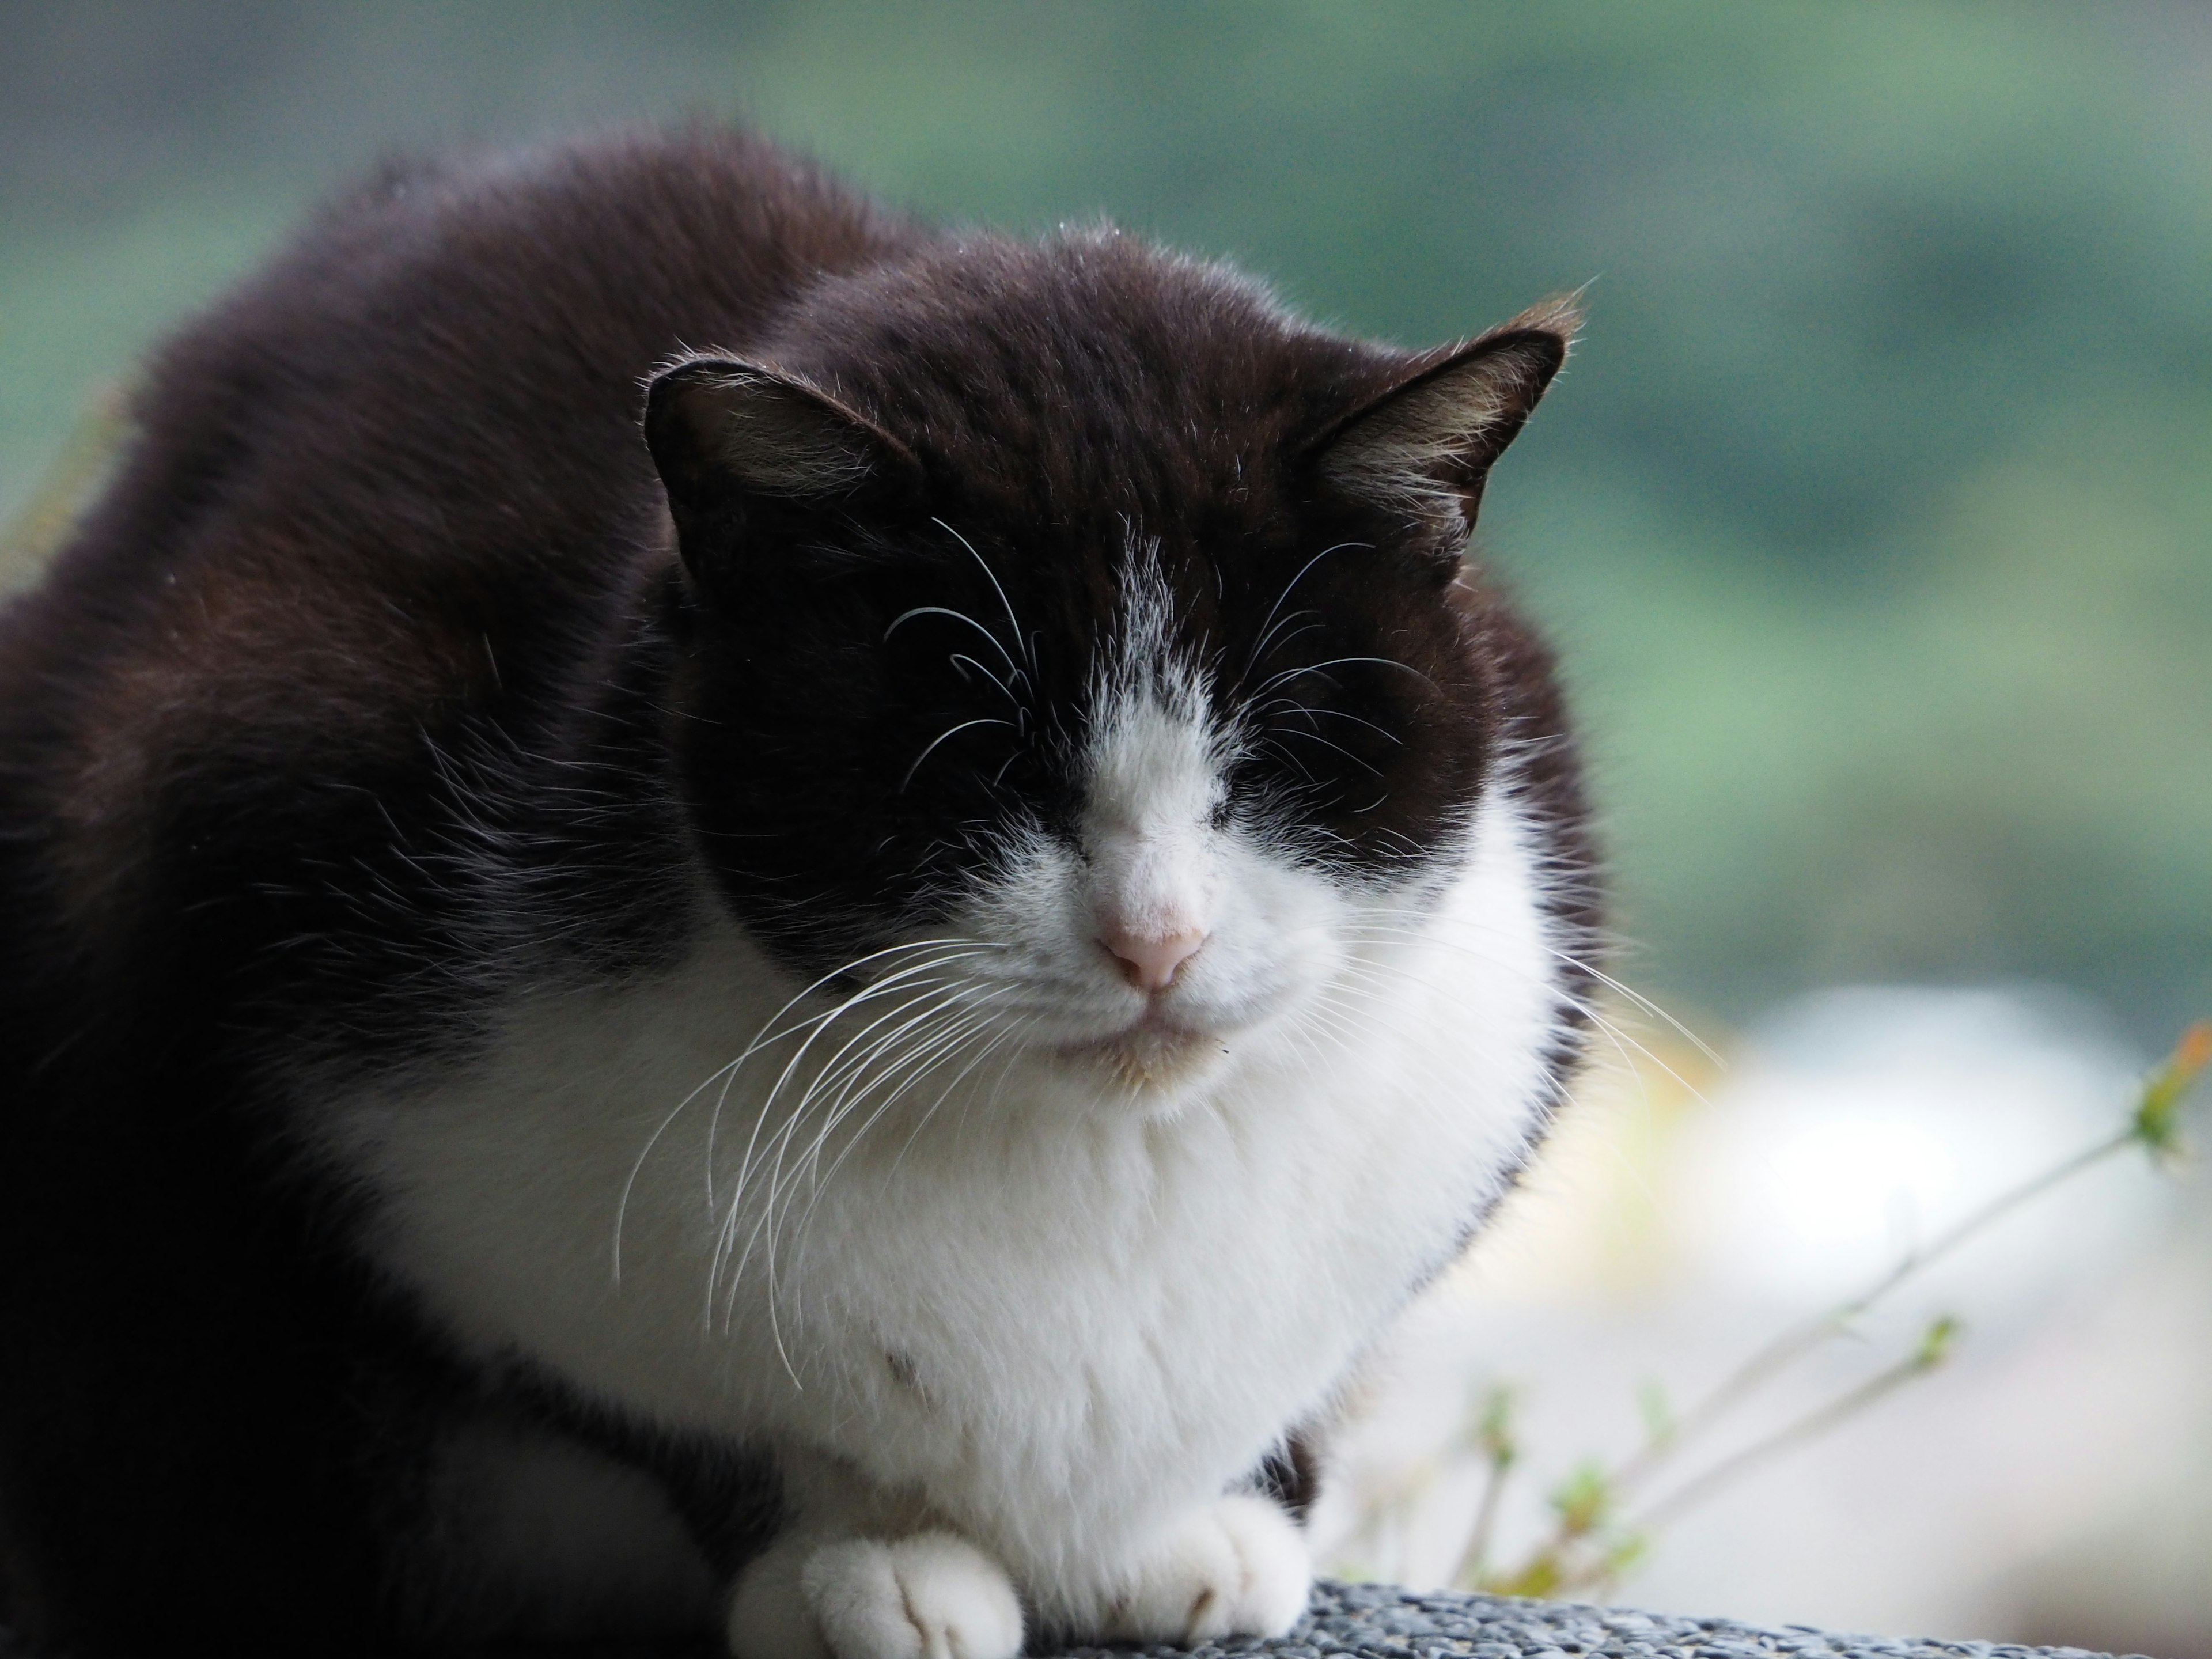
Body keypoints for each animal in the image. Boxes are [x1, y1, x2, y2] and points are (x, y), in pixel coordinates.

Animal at [0, 130, 1601, 1659]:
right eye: (979, 763)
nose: (1158, 941)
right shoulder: (269, 888)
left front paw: (1192, 1521)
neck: (1087, 1163)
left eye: (1281, 754)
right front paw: (864, 1559)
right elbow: (658, 1402)